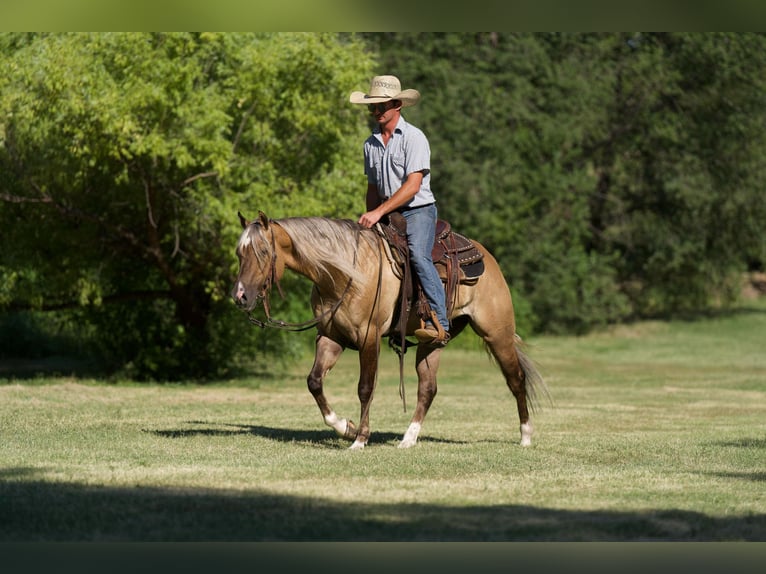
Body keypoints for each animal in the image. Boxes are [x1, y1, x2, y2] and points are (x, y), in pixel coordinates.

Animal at [231, 211, 548, 450]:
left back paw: (525, 436)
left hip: (497, 334)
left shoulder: (368, 338)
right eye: (238, 253)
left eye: (263, 251)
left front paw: (359, 439)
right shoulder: (331, 337)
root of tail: (486, 257)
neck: (344, 273)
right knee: (428, 388)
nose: (240, 296)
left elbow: (365, 387)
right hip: (433, 342)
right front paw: (345, 427)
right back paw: (408, 439)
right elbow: (314, 382)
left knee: (516, 379)